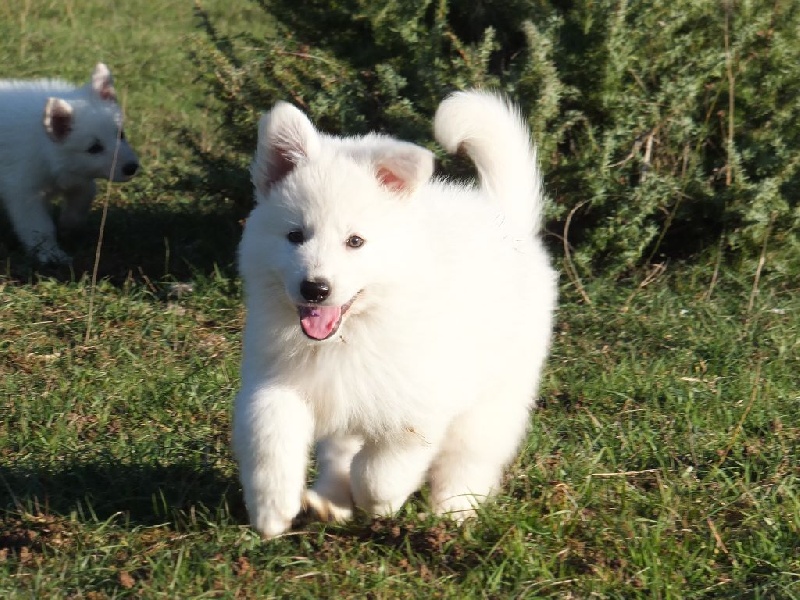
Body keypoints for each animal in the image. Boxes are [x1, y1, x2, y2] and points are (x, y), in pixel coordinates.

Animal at [0, 63, 139, 264]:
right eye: (94, 148)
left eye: (121, 134)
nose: (132, 168)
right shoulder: (23, 191)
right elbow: (39, 227)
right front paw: (50, 253)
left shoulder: (76, 175)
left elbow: (85, 194)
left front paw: (69, 224)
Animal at [234, 89, 557, 538]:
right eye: (294, 235)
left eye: (355, 241)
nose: (315, 289)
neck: (353, 333)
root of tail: (505, 221)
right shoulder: (277, 380)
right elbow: (269, 432)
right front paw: (272, 508)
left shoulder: (421, 405)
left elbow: (380, 470)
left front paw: (379, 505)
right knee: (340, 450)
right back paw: (331, 501)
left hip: (495, 395)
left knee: (469, 457)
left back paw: (454, 512)